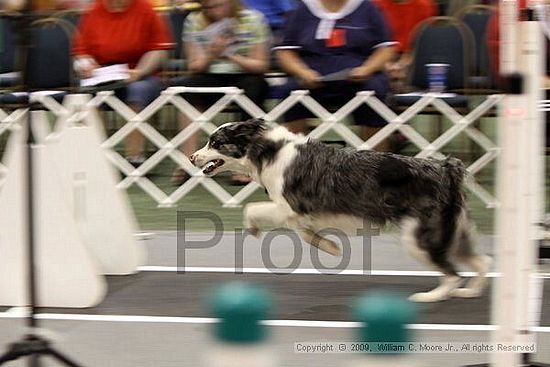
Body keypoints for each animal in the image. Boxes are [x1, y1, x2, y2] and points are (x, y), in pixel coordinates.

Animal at [192, 118, 494, 302]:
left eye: (215, 142)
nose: (192, 157)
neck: (269, 151)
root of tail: (446, 168)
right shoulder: (303, 215)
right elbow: (306, 234)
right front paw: (330, 247)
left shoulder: (290, 206)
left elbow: (252, 208)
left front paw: (253, 228)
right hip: (455, 231)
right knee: (481, 262)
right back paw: (471, 292)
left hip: (420, 236)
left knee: (452, 273)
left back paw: (432, 296)